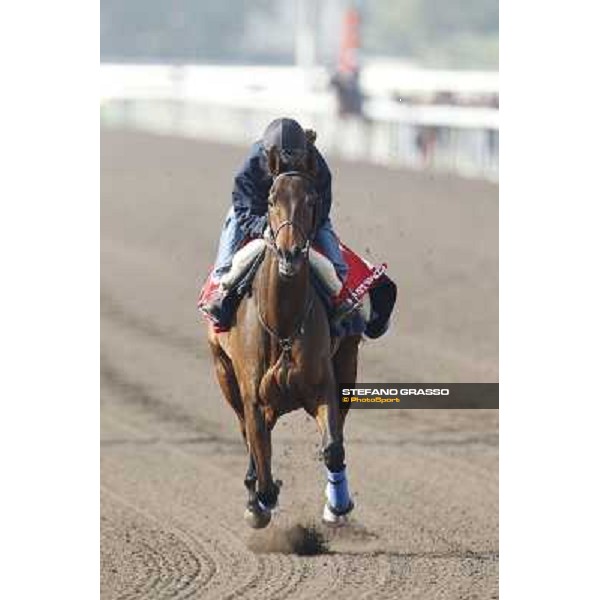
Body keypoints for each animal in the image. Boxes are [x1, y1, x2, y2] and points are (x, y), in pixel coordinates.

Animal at [207, 145, 360, 528]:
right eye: (271, 199)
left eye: (311, 200)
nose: (290, 252)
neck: (284, 323)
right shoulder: (253, 398)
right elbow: (260, 459)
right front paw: (260, 500)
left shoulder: (324, 386)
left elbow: (333, 448)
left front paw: (337, 505)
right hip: (224, 374)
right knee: (247, 436)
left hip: (348, 368)